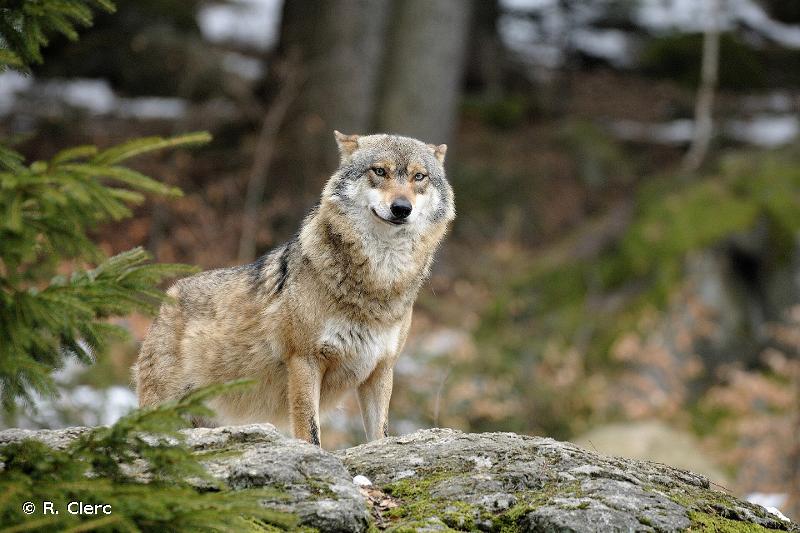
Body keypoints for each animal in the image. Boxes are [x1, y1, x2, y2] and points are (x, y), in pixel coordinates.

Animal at [134, 131, 454, 442]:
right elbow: (310, 433)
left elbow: (380, 436)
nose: (401, 208)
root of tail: (167, 298)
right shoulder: (304, 361)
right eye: (379, 171)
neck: (379, 283)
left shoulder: (381, 369)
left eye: (419, 176)